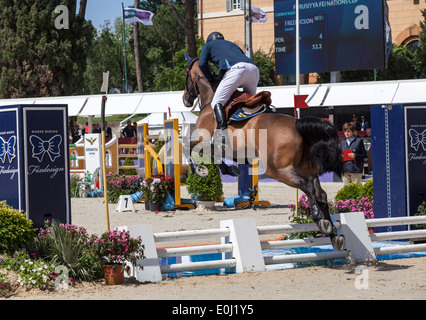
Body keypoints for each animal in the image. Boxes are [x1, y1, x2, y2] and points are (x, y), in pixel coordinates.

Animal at [183, 54, 346, 250]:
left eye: (185, 74)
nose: (185, 99)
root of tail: (297, 124)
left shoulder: (204, 139)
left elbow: (187, 147)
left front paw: (200, 170)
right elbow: (215, 157)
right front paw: (229, 169)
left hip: (277, 170)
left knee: (307, 186)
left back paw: (318, 219)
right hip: (306, 168)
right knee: (320, 194)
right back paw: (333, 233)